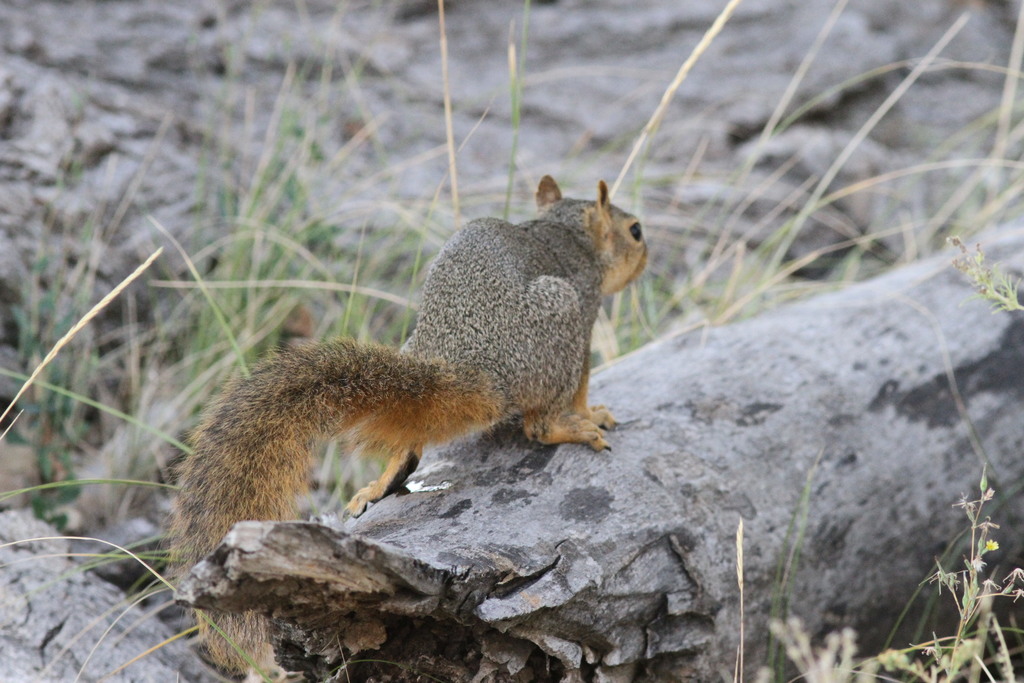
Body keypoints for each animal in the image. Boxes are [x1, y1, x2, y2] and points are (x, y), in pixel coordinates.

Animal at [167, 175, 647, 671]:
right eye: (635, 231)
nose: (645, 257)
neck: (567, 232)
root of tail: (477, 368)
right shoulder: (585, 306)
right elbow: (582, 385)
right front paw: (589, 413)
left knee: (410, 450)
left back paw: (379, 485)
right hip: (561, 318)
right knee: (540, 424)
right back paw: (571, 428)